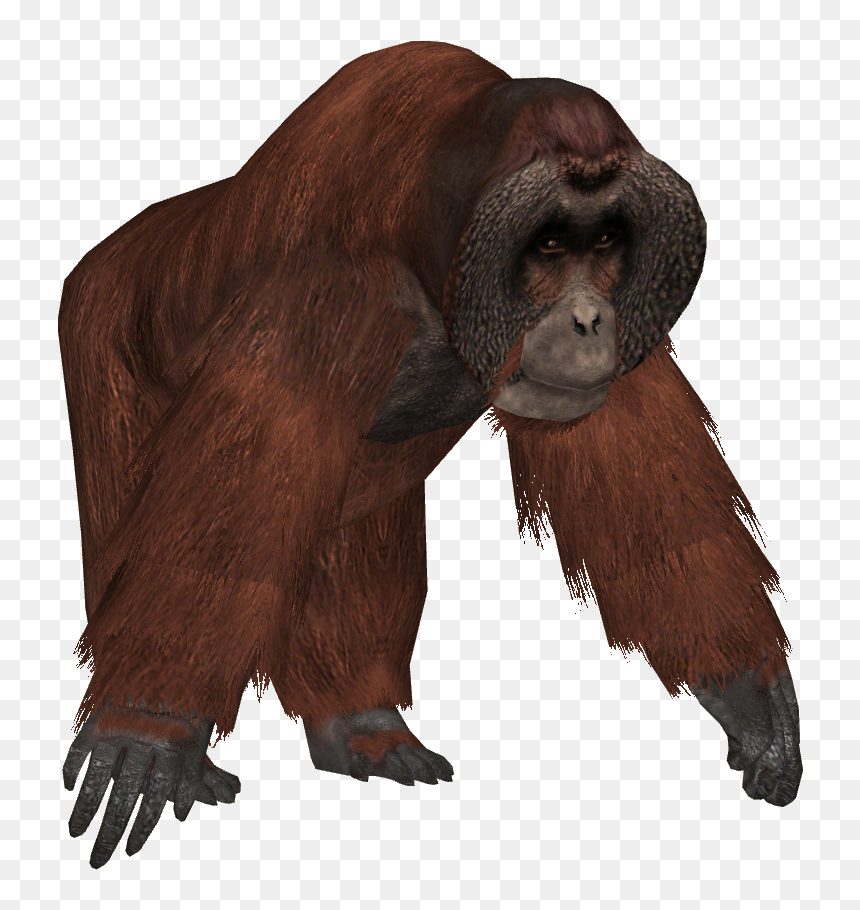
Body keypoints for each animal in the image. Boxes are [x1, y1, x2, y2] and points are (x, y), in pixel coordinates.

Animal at [58, 41, 801, 868]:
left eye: (607, 241)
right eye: (550, 243)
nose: (588, 319)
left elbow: (658, 524)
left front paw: (749, 694)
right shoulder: (321, 301)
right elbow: (221, 531)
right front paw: (147, 733)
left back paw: (364, 728)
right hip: (99, 320)